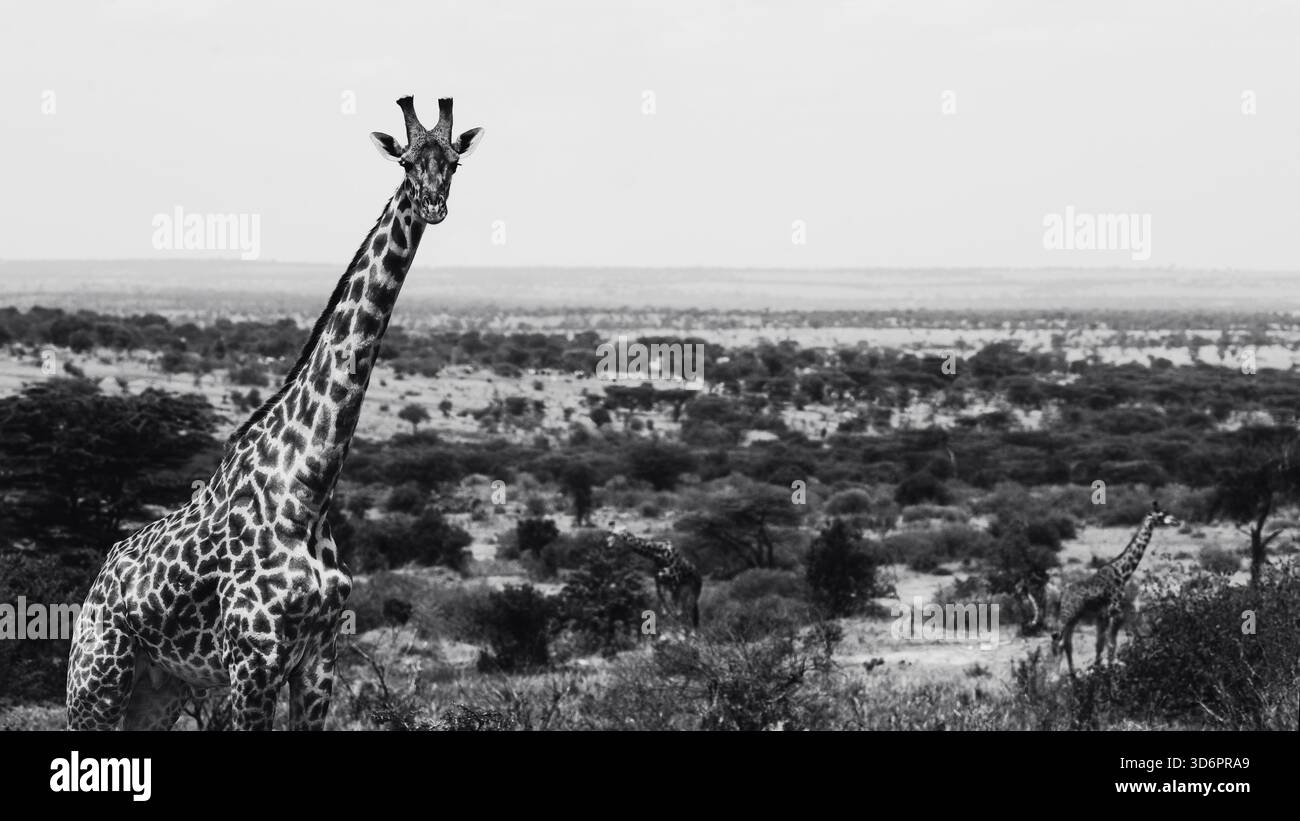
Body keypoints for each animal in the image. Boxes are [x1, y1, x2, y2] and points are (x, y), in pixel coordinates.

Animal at [66, 96, 484, 730]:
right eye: (406, 161)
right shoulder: (253, 662)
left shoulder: (319, 659)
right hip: (97, 679)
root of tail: (94, 587)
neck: (308, 490)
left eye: (454, 162)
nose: (434, 204)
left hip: (158, 687)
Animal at [1051, 501, 1181, 677]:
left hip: (1075, 616)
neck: (1122, 571)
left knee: (1066, 641)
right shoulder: (1115, 611)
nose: (1176, 521)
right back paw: (1055, 676)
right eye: (1162, 514)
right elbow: (1111, 643)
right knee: (1058, 638)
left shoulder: (1102, 615)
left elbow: (1100, 643)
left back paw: (1073, 674)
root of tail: (1062, 595)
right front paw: (1108, 668)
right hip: (1069, 612)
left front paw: (1098, 667)